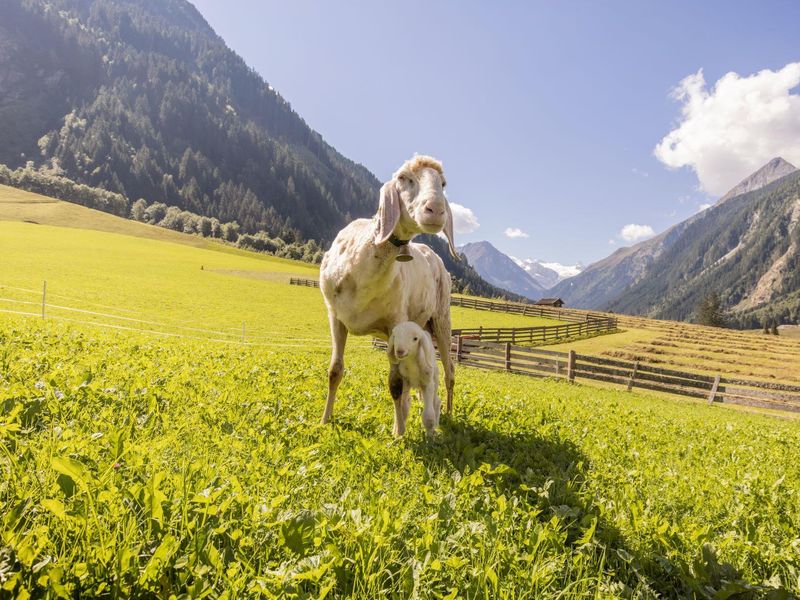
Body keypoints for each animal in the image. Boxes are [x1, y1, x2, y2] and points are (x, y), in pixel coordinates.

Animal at [318, 154, 456, 432]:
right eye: (403, 177)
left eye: (443, 183)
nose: (436, 210)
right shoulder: (335, 317)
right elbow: (334, 370)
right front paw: (325, 419)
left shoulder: (396, 323)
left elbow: (395, 383)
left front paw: (399, 432)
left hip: (441, 317)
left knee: (449, 371)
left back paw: (445, 413)